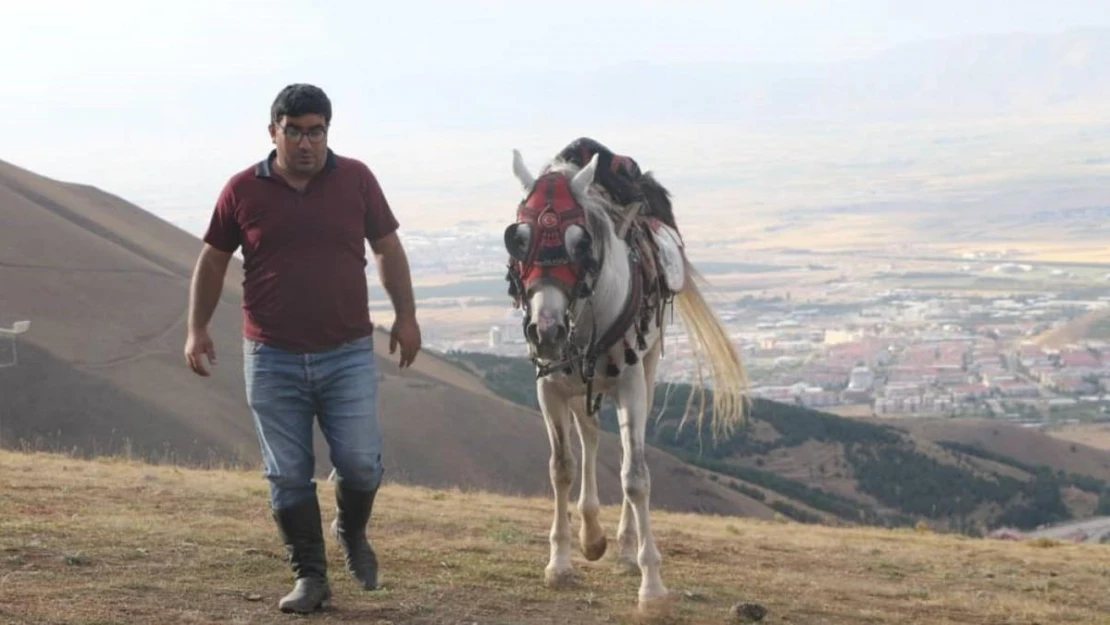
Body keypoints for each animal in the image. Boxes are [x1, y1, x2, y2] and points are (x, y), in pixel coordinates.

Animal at [506, 147, 754, 612]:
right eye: (518, 238)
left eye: (580, 241)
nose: (545, 331)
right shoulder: (549, 387)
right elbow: (561, 467)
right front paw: (560, 563)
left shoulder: (631, 386)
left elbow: (635, 477)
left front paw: (651, 584)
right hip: (580, 383)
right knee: (589, 436)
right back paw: (591, 533)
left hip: (646, 368)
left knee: (622, 450)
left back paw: (622, 546)